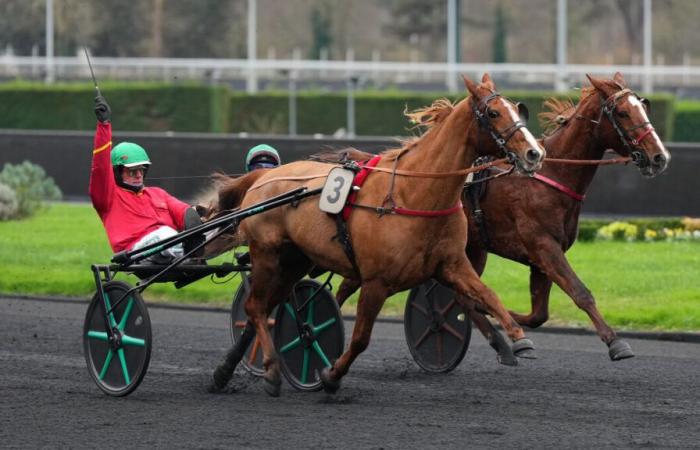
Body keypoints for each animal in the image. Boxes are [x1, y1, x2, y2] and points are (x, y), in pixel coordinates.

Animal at [211, 74, 544, 394]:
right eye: (493, 112)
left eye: (518, 109)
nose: (535, 153)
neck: (413, 193)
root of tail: (264, 176)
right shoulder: (375, 282)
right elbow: (360, 338)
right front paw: (330, 375)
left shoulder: (451, 265)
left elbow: (488, 295)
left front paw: (519, 340)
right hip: (267, 255)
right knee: (255, 307)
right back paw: (271, 370)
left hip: (294, 261)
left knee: (264, 310)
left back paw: (224, 372)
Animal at [336, 74, 668, 362]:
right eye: (622, 113)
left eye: (644, 106)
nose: (659, 156)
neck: (549, 176)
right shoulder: (543, 246)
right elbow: (580, 293)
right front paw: (616, 342)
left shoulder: (542, 258)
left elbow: (537, 314)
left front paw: (505, 325)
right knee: (346, 286)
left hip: (473, 249)